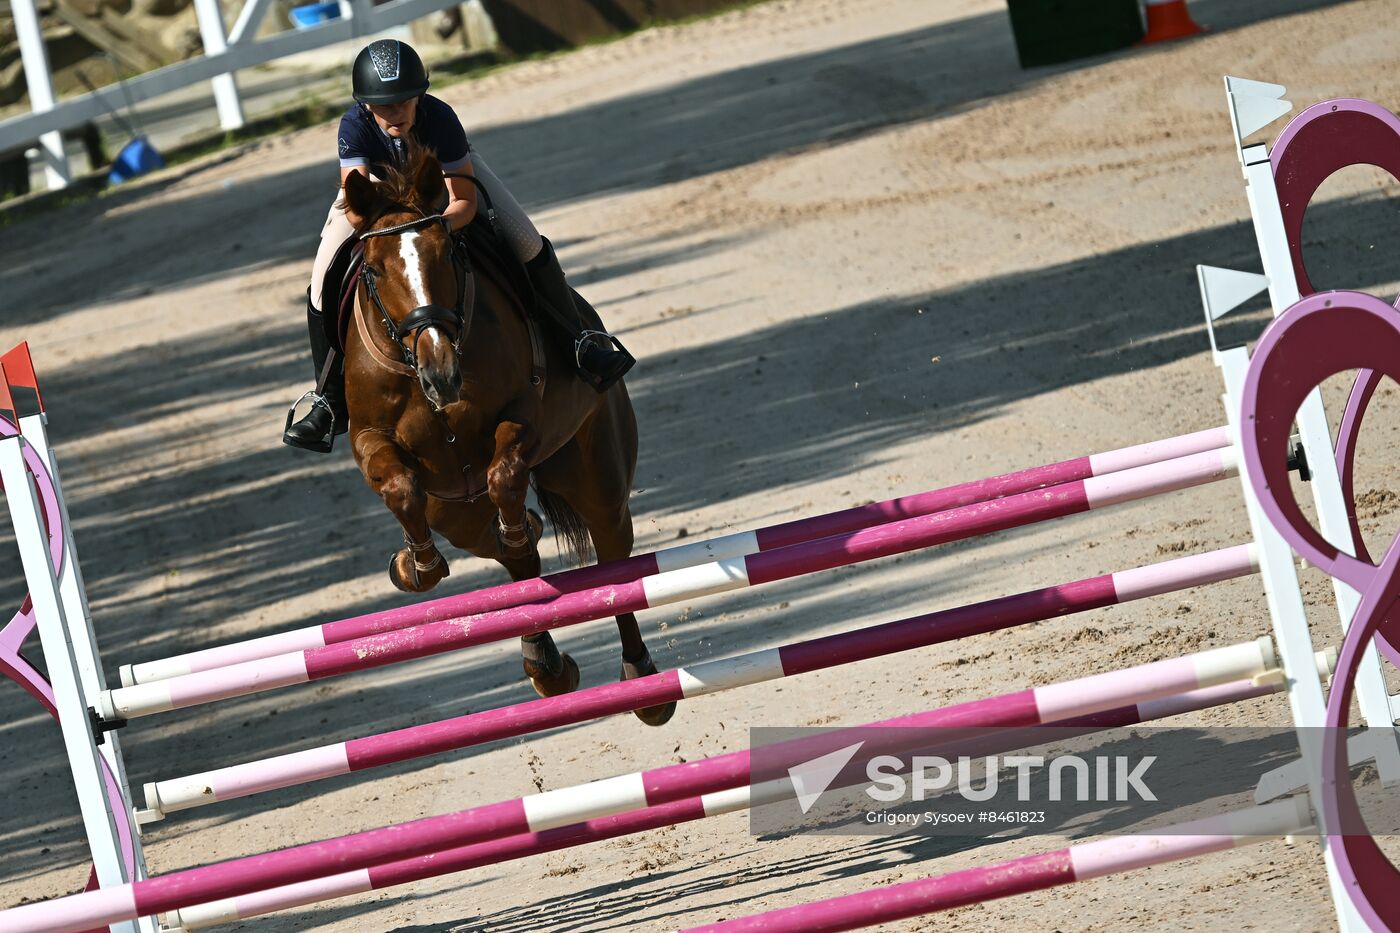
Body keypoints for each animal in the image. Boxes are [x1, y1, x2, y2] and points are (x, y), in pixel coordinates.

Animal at [333, 147, 672, 728]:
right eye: (373, 270)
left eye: (448, 254)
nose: (442, 374)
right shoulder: (370, 439)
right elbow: (401, 488)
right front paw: (417, 566)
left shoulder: (523, 413)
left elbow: (506, 472)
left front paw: (516, 528)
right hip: (456, 511)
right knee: (509, 559)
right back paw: (546, 663)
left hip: (597, 478)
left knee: (611, 563)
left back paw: (643, 683)